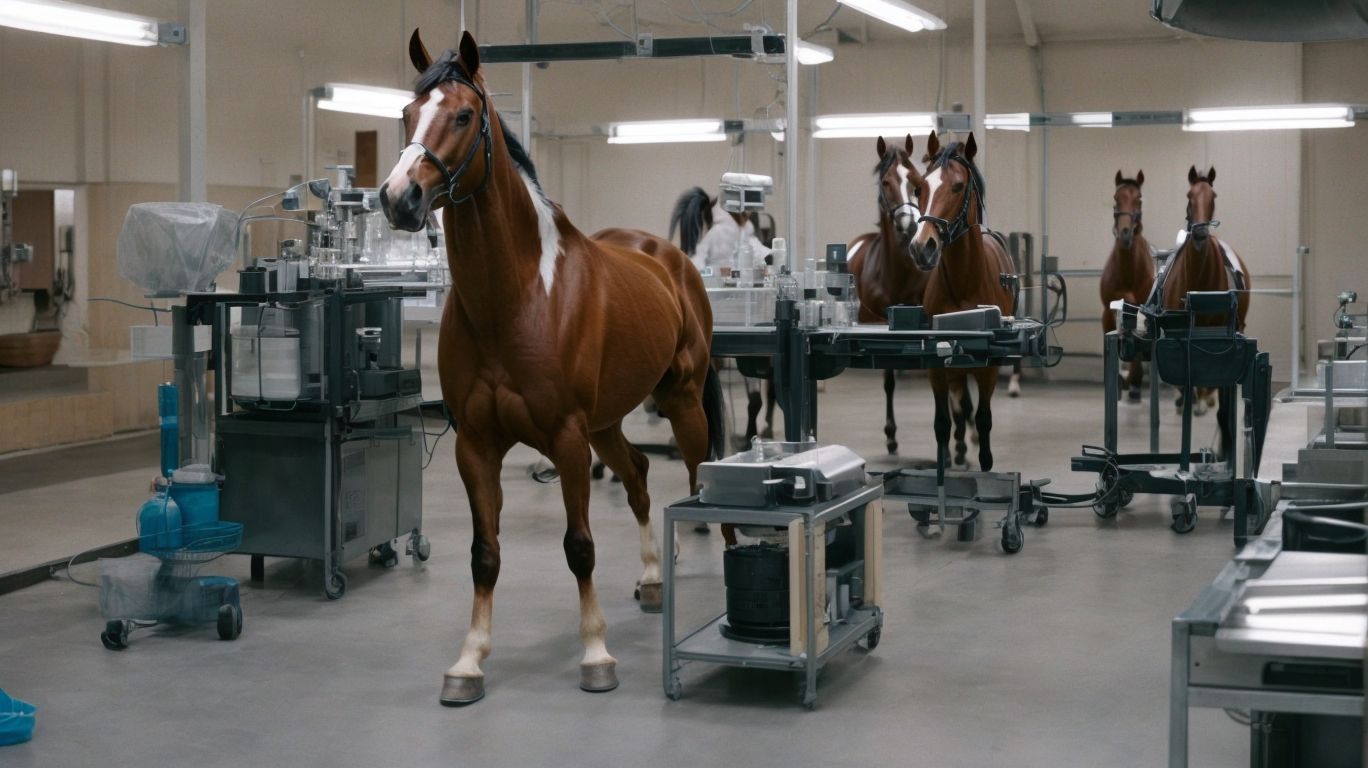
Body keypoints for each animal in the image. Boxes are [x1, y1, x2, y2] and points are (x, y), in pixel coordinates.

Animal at [381, 30, 722, 705]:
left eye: (464, 115)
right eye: (407, 113)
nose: (399, 197)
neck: (513, 300)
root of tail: (670, 257)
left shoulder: (565, 438)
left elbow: (579, 546)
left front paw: (596, 655)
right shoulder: (477, 444)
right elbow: (485, 552)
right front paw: (469, 661)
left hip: (682, 403)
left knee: (699, 479)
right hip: (606, 424)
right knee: (639, 475)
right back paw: (651, 581)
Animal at [907, 131, 1015, 472]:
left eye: (957, 186)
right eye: (920, 187)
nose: (922, 247)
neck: (964, 282)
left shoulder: (989, 368)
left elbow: (983, 419)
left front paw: (984, 460)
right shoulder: (936, 367)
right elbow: (943, 421)